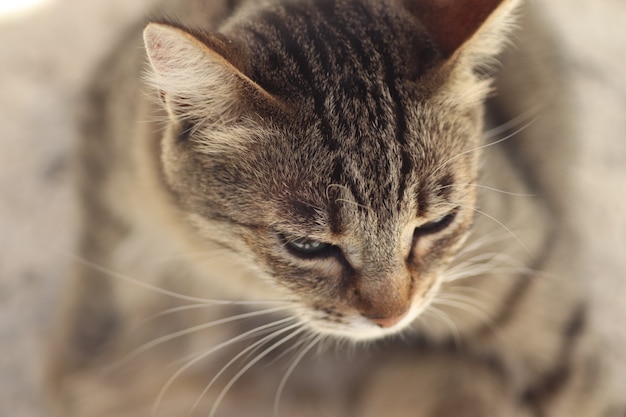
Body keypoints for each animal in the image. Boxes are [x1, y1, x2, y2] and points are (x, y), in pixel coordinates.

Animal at [42, 0, 620, 414]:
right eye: (306, 246)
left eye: (437, 223)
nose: (392, 319)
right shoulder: (110, 150)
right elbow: (101, 274)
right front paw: (84, 364)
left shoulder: (533, 277)